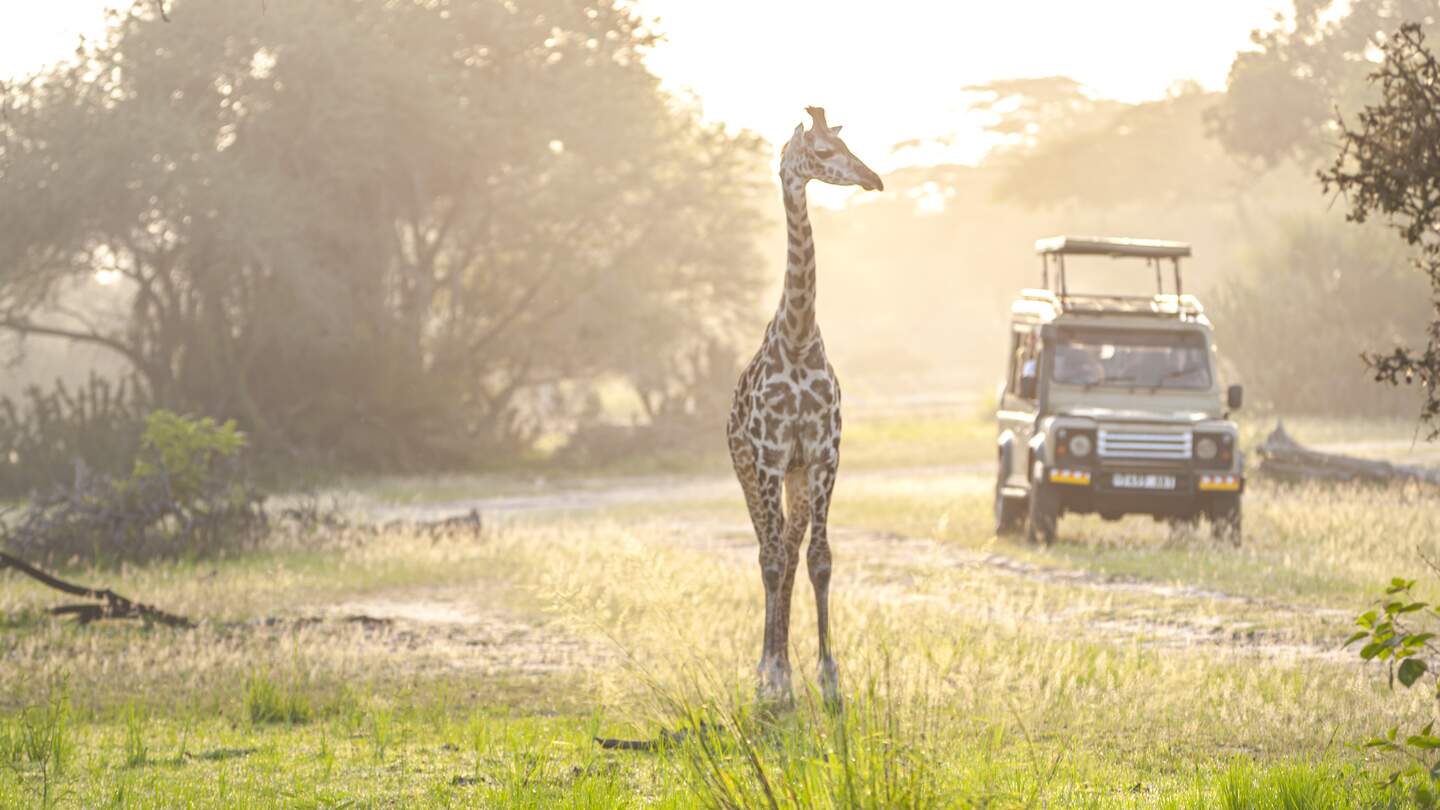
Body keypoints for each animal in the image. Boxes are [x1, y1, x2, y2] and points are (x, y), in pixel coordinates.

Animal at [727, 106, 884, 706]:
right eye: (819, 153)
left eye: (843, 144)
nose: (872, 179)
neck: (796, 338)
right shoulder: (769, 456)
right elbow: (772, 560)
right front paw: (773, 679)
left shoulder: (822, 455)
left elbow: (820, 560)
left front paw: (829, 679)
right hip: (748, 470)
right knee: (766, 551)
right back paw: (769, 671)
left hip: (793, 477)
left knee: (789, 550)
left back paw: (786, 668)